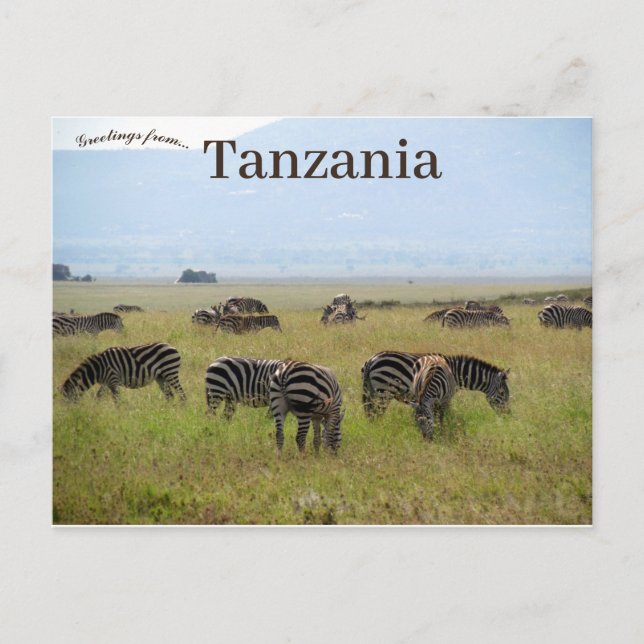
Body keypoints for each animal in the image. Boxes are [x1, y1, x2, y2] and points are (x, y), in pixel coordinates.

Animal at [361, 350, 510, 418]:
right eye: (502, 393)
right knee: (376, 413)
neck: (455, 371)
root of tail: (371, 360)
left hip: (371, 391)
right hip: (383, 392)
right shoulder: (445, 396)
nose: (507, 415)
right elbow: (444, 413)